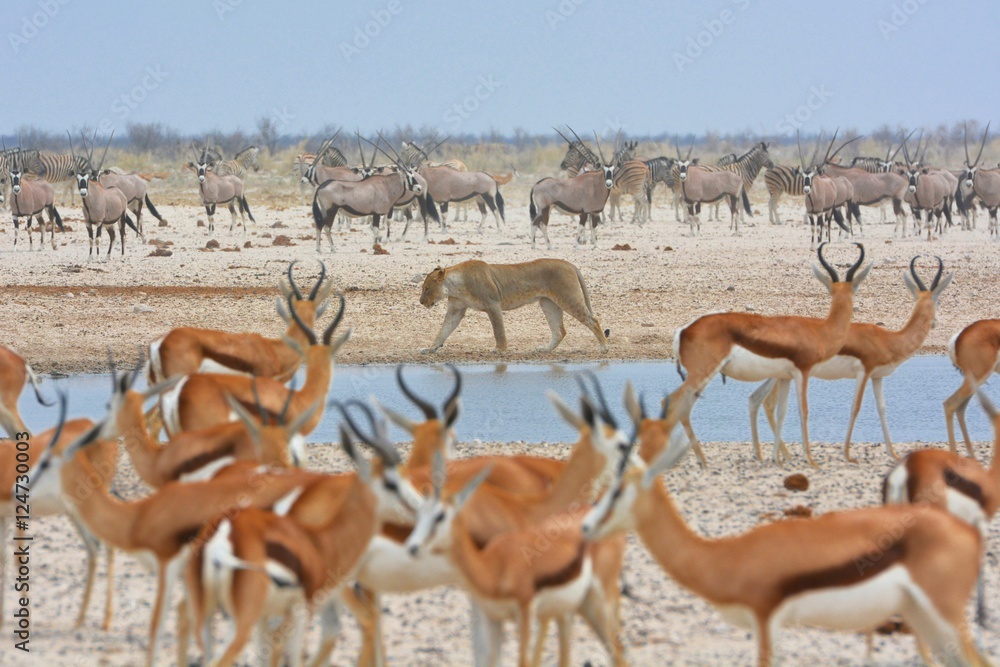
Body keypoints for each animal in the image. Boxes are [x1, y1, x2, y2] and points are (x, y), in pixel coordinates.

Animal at [419, 259, 610, 354]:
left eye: (426, 289)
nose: (421, 302)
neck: (456, 285)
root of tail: (569, 264)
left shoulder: (493, 304)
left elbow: (498, 331)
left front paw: (500, 350)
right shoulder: (455, 310)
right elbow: (443, 331)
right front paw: (430, 348)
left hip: (568, 297)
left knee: (593, 320)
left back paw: (604, 348)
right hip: (548, 303)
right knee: (559, 331)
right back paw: (544, 349)